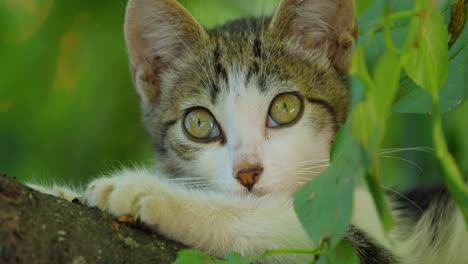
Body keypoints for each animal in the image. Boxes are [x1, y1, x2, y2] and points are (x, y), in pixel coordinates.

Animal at [29, 0, 468, 262]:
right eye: (199, 124)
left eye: (285, 109)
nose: (247, 173)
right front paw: (59, 192)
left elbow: (284, 219)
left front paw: (150, 191)